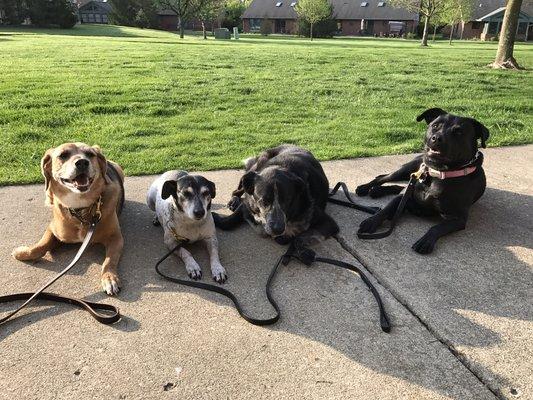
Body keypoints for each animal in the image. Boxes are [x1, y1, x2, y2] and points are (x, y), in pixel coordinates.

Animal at [12, 142, 125, 296]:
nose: (82, 162)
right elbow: (40, 247)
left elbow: (109, 260)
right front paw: (22, 253)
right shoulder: (53, 229)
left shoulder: (116, 238)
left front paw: (109, 278)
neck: (80, 208)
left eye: (90, 154)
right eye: (63, 155)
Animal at [356, 107, 488, 253]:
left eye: (459, 132)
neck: (438, 173)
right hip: (407, 169)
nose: (436, 138)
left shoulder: (458, 218)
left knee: (398, 186)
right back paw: (366, 187)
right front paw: (372, 221)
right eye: (435, 126)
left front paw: (426, 240)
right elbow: (387, 208)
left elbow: (437, 227)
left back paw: (377, 191)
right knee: (383, 177)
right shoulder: (404, 197)